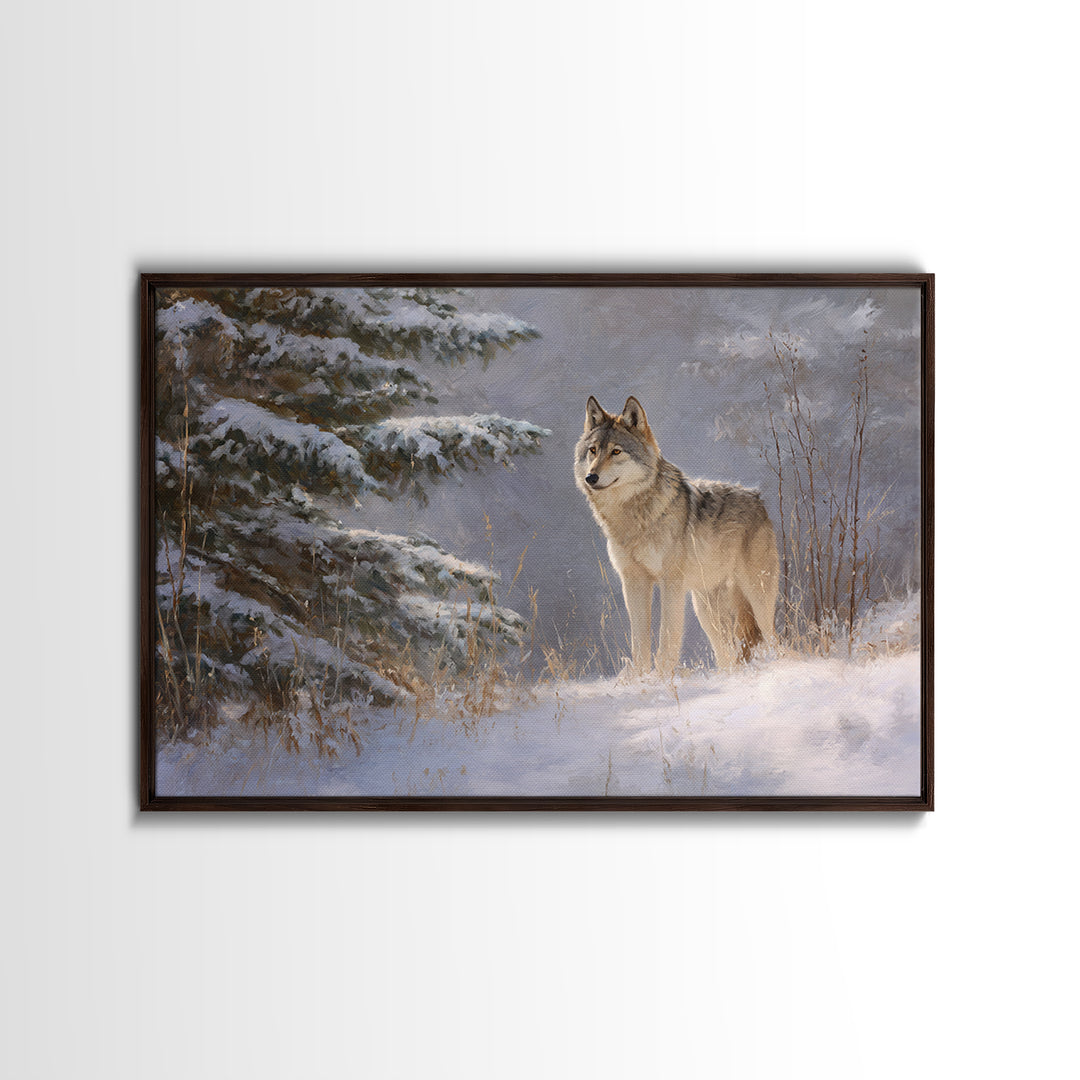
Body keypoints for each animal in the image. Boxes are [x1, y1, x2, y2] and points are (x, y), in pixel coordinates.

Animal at [574, 396, 779, 674]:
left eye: (616, 451)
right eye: (593, 451)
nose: (591, 477)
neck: (635, 517)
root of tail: (758, 499)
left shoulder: (671, 584)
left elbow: (667, 638)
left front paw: (663, 677)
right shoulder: (633, 582)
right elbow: (639, 642)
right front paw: (641, 678)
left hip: (757, 597)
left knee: (773, 638)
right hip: (705, 610)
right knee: (726, 653)